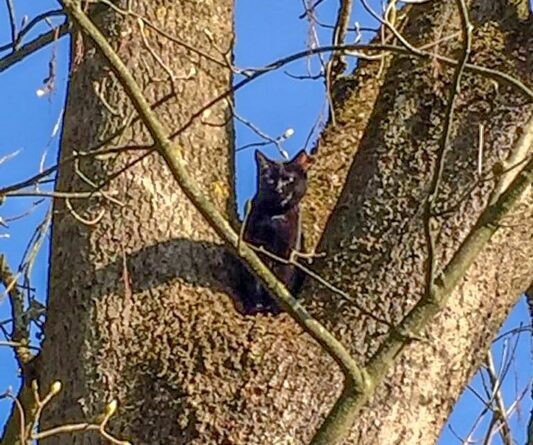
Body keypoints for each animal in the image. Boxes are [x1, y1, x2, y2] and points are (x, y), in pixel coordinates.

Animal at [236, 148, 312, 312]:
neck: (275, 215)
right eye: (269, 179)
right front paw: (256, 306)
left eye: (289, 179)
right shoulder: (255, 245)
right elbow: (256, 276)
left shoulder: (288, 251)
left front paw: (276, 305)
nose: (279, 189)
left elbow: (282, 278)